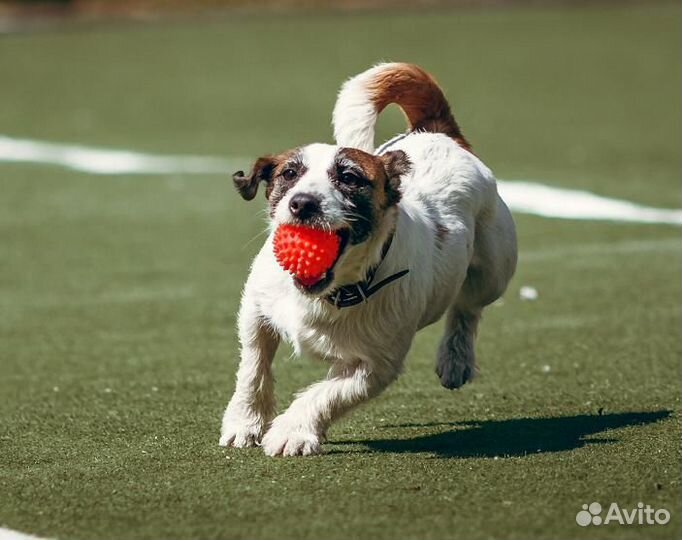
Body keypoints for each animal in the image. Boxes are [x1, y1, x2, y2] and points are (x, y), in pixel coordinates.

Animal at [218, 64, 516, 460]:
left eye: (349, 177)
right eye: (289, 174)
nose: (302, 203)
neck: (330, 293)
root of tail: (439, 133)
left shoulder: (376, 365)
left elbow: (327, 395)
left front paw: (292, 431)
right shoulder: (256, 313)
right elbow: (253, 368)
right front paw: (245, 422)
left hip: (494, 270)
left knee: (468, 308)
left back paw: (456, 359)